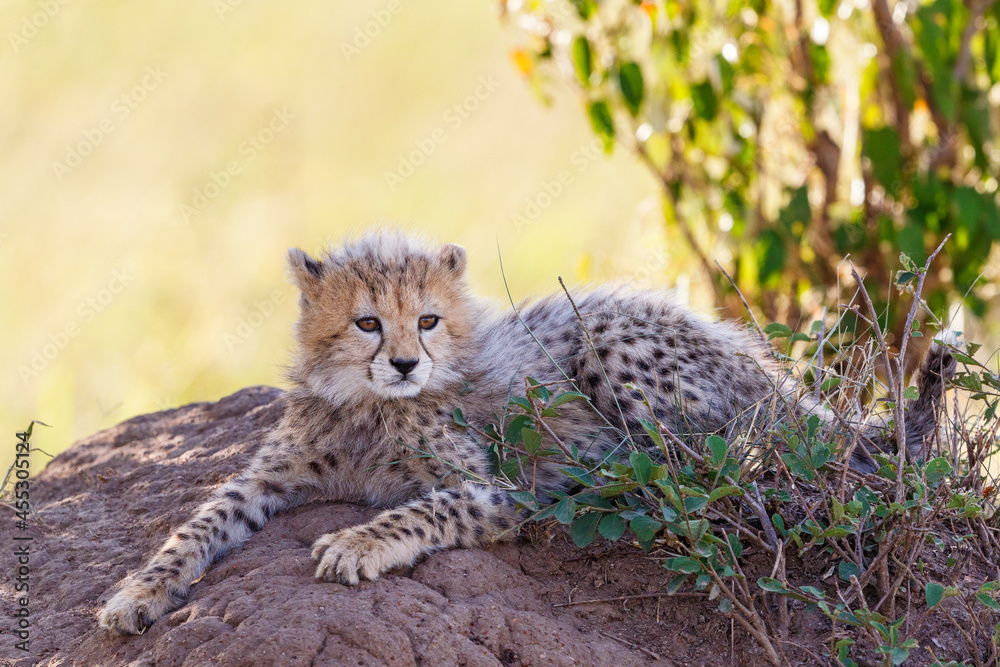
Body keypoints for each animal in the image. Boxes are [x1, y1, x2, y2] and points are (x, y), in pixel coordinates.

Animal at [99, 229, 955, 635]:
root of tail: (759, 365)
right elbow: (197, 523)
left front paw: (357, 542)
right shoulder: (267, 476)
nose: (405, 363)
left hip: (610, 340)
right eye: (368, 322)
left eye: (429, 320)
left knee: (715, 468)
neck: (369, 406)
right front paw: (138, 592)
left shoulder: (501, 489)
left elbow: (427, 506)